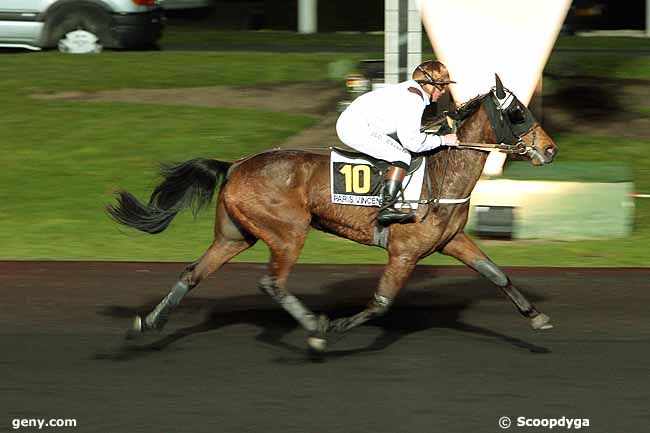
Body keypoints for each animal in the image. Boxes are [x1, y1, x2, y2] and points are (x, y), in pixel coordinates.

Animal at [109, 74, 556, 352]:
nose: (550, 149)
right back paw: (315, 328)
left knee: (192, 273)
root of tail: (235, 165)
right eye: (518, 113)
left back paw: (148, 324)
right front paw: (335, 328)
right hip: (289, 232)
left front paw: (536, 317)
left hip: (234, 235)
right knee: (272, 282)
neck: (443, 173)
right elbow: (381, 302)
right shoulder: (405, 252)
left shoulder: (452, 241)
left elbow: (496, 274)